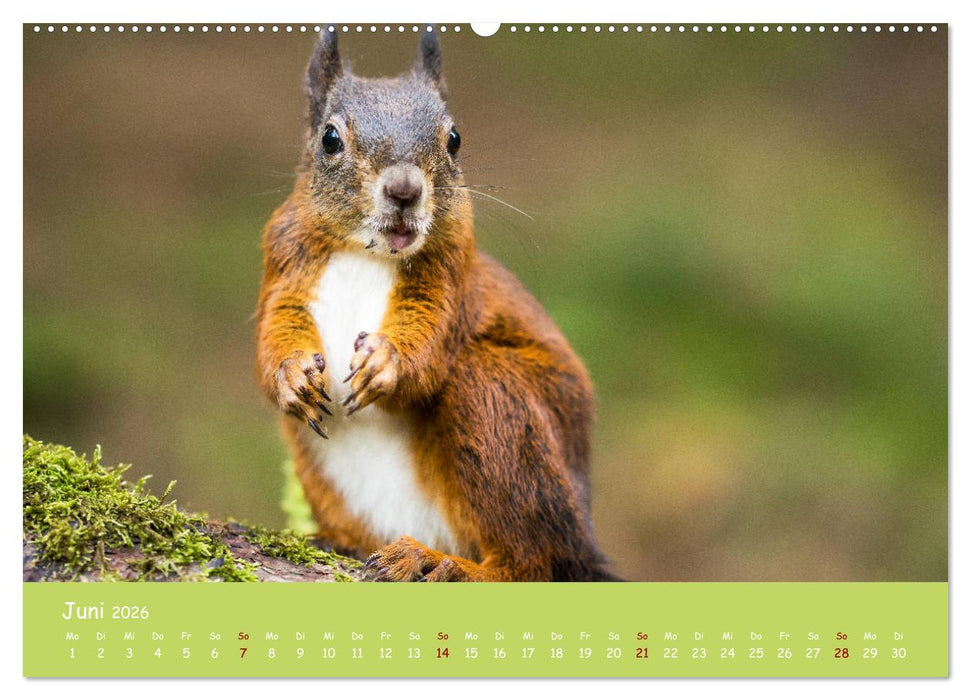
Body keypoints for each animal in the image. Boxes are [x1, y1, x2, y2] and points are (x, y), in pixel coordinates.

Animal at [255, 29, 615, 582]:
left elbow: (428, 344)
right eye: (330, 139)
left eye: (455, 139)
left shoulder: (451, 282)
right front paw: (291, 375)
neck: (364, 253)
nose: (404, 190)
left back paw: (443, 563)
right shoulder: (284, 269)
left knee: (532, 563)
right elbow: (275, 330)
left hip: (497, 406)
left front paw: (387, 362)